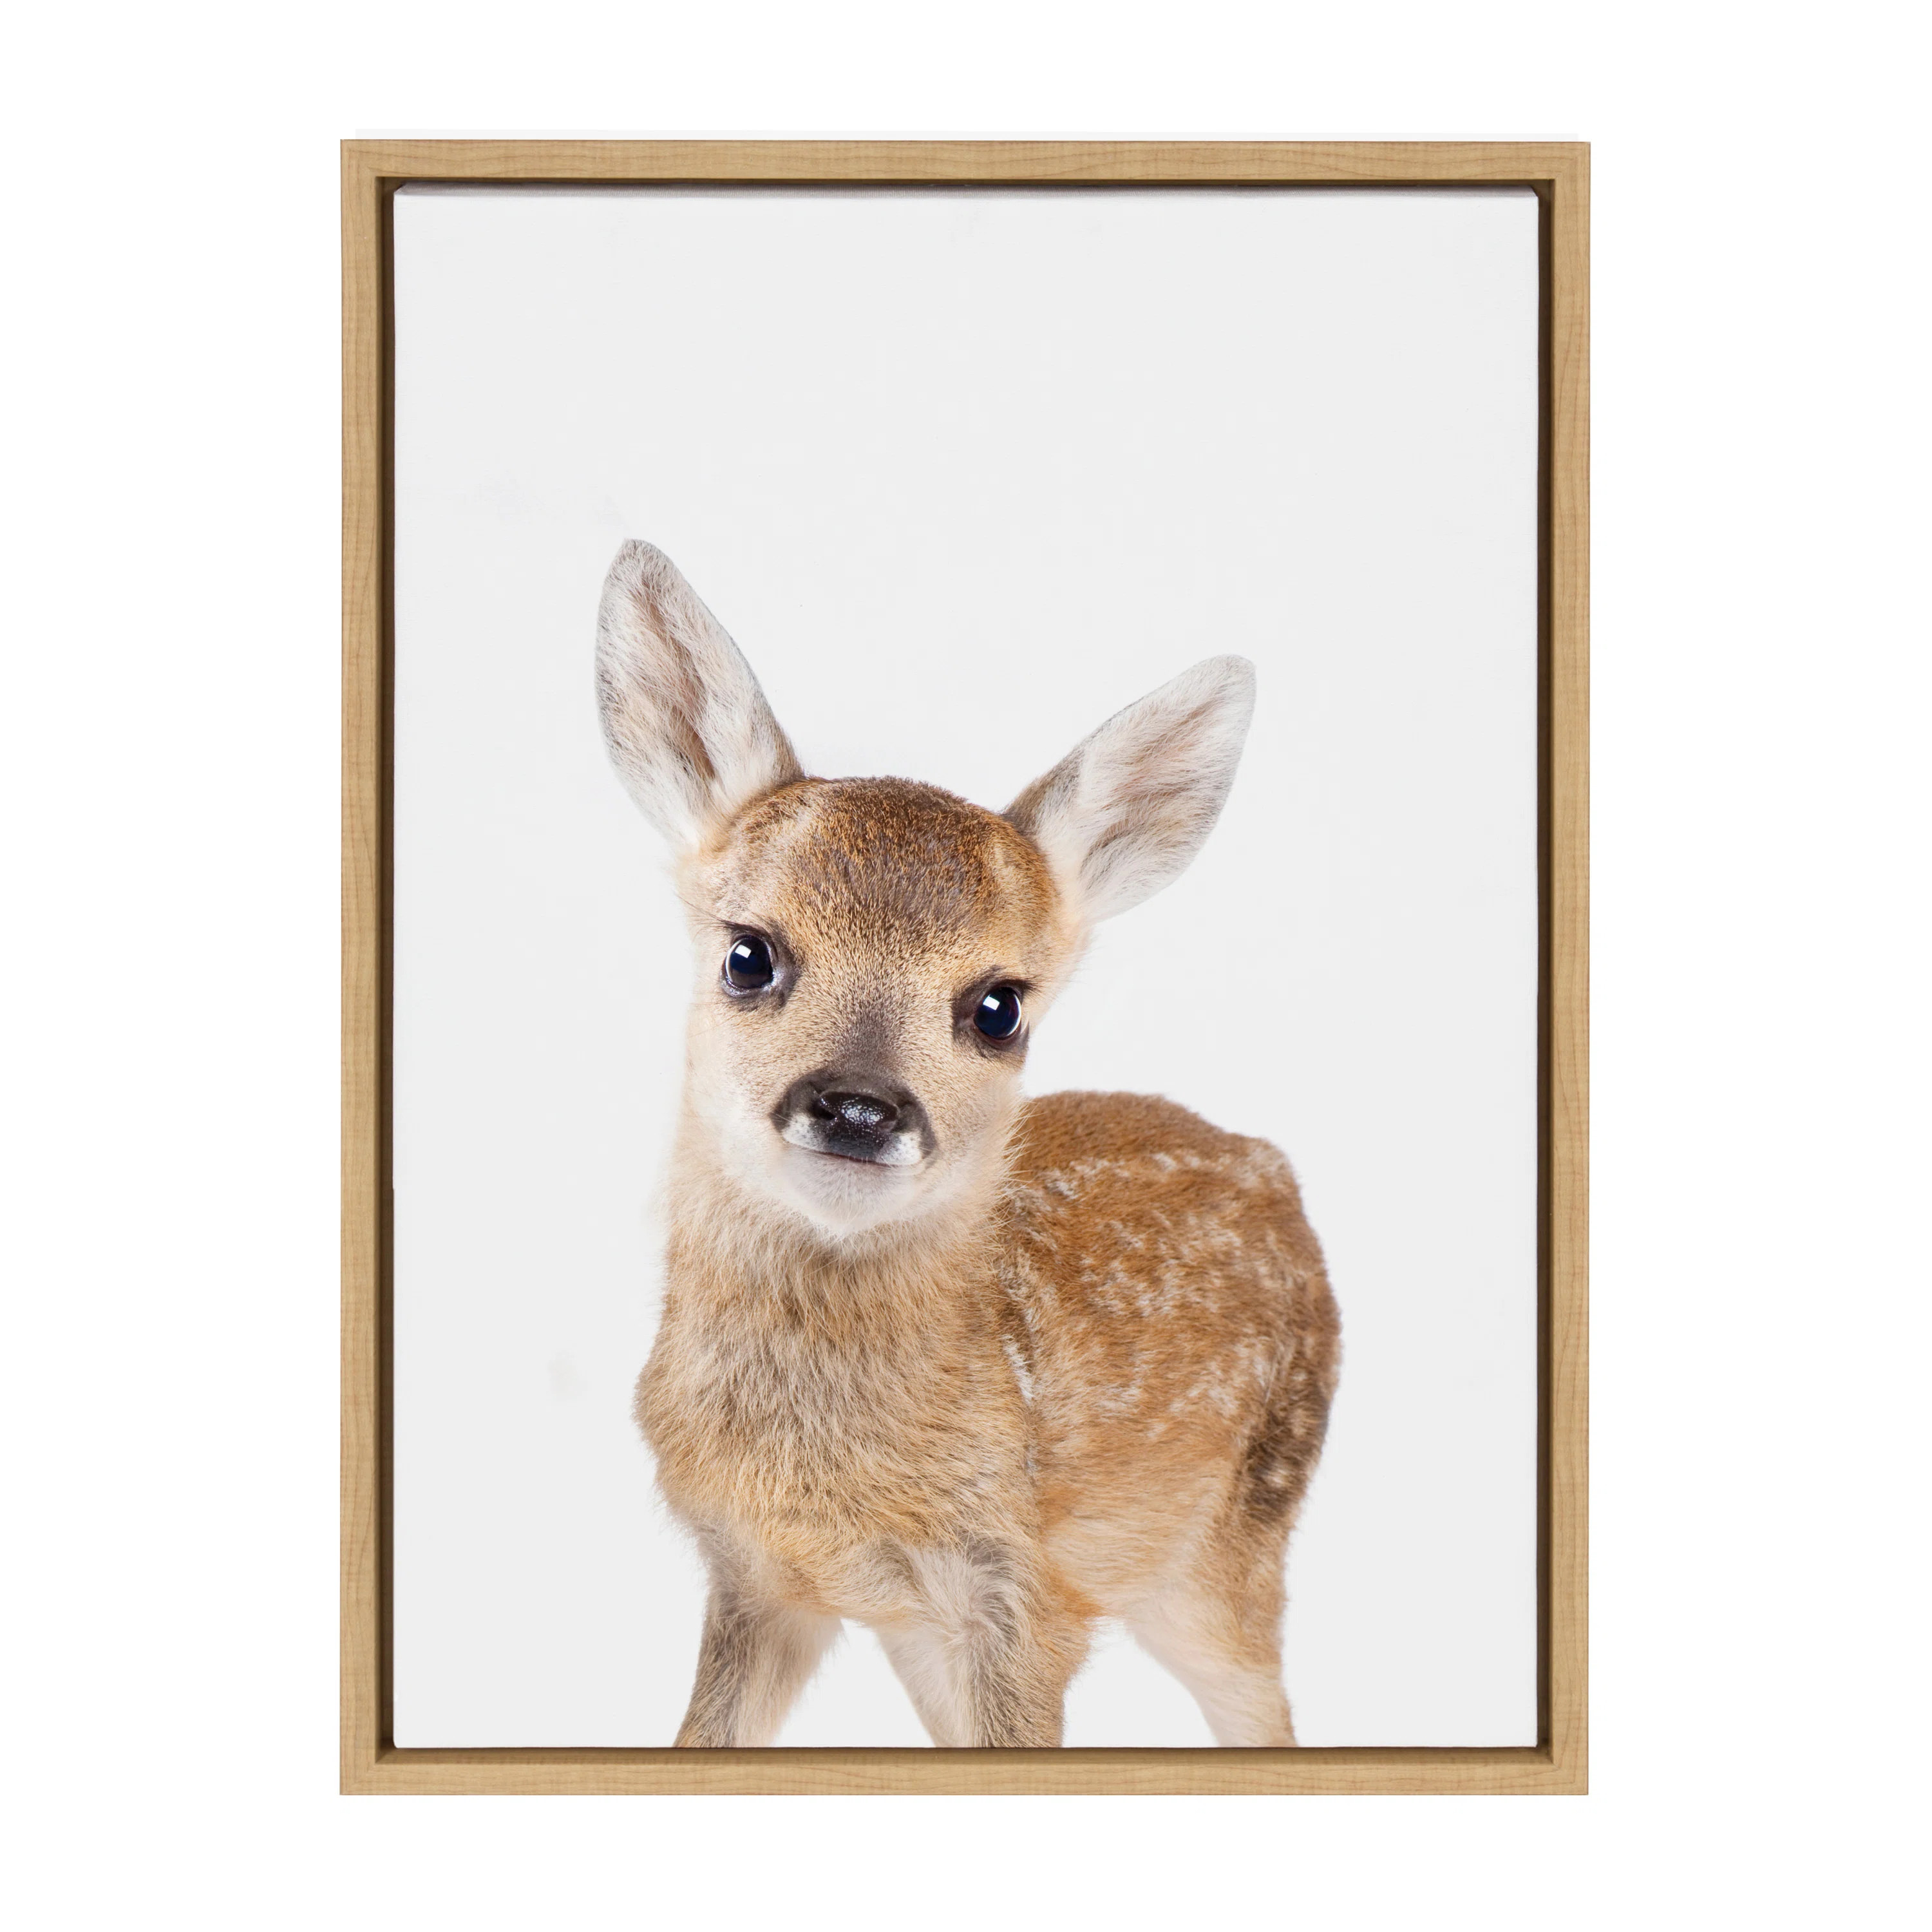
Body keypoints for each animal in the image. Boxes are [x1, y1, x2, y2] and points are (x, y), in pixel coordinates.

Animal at [596, 540, 1340, 1749]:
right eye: (749, 954)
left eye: (1000, 1007)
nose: (859, 1106)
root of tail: (1275, 1167)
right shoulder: (758, 1579)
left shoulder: (1026, 1596)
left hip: (1235, 1540)